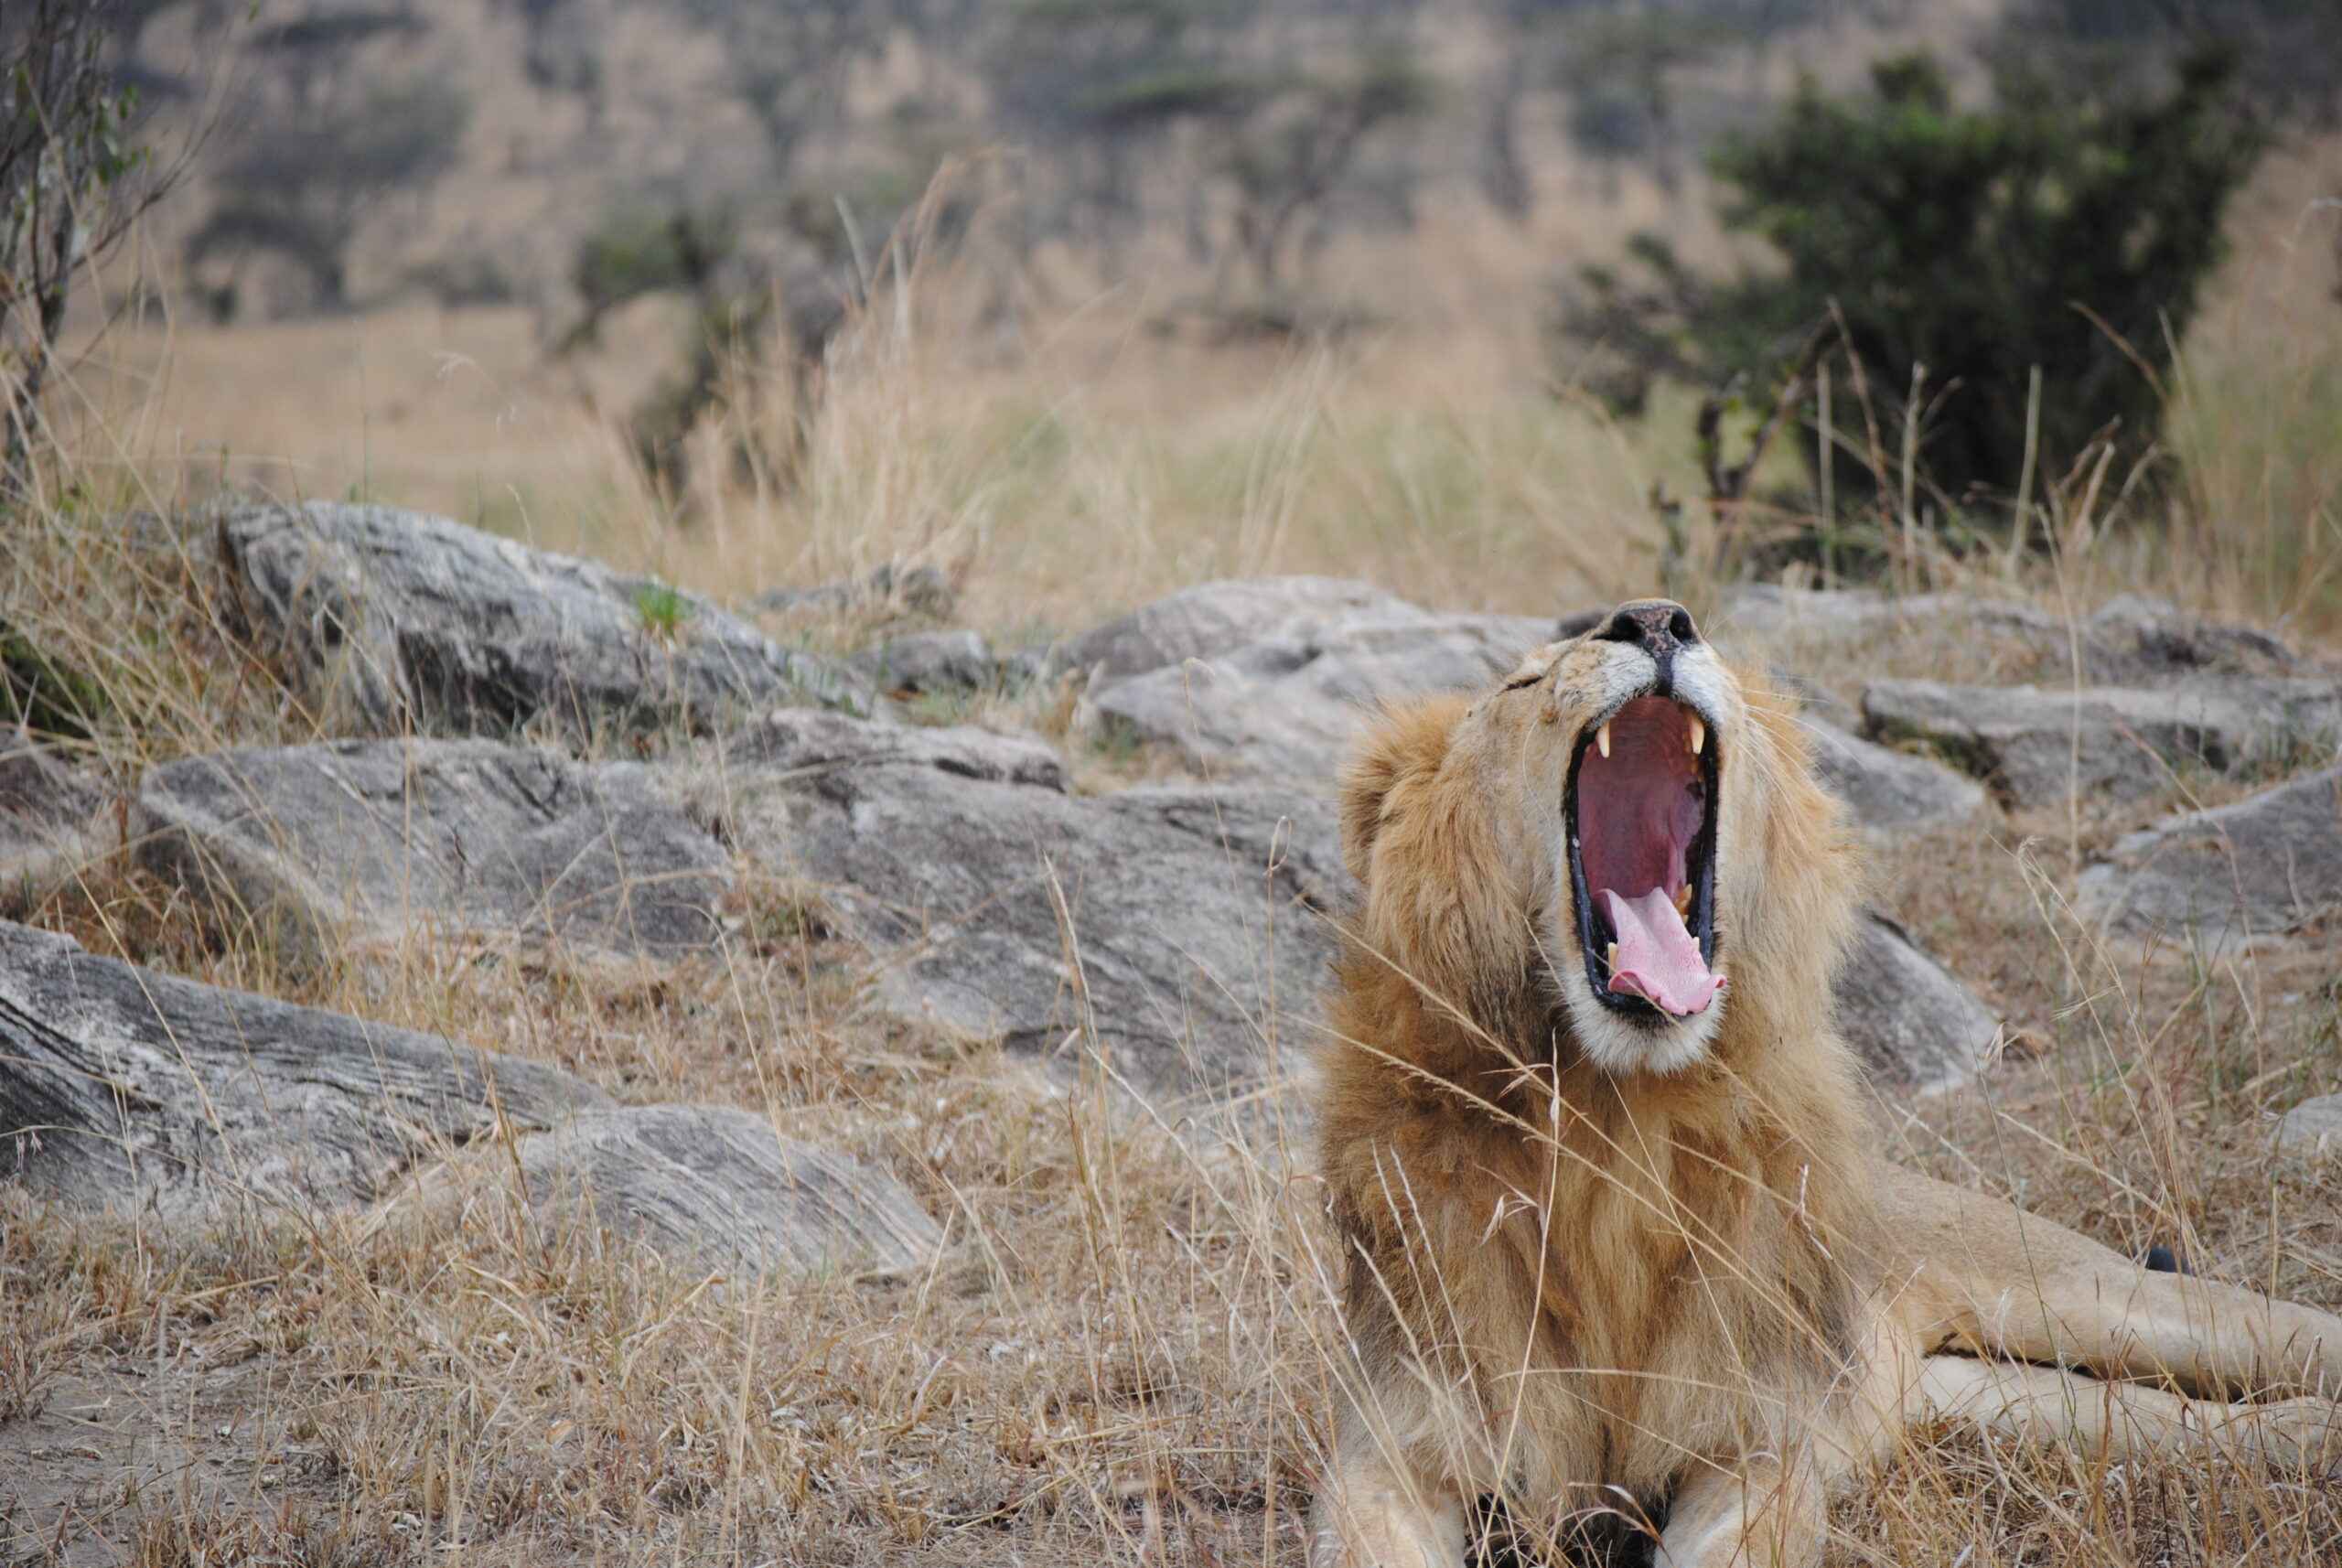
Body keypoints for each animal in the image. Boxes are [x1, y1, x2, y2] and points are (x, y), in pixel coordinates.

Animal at [1311, 599, 2342, 1568]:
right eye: (1521, 686)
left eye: (1699, 638)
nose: (1655, 619)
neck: (1616, 1116)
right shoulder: (1396, 1444)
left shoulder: (1755, 1443)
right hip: (1978, 1400)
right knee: (2165, 1418)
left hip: (2094, 1293)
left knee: (2286, 1334)